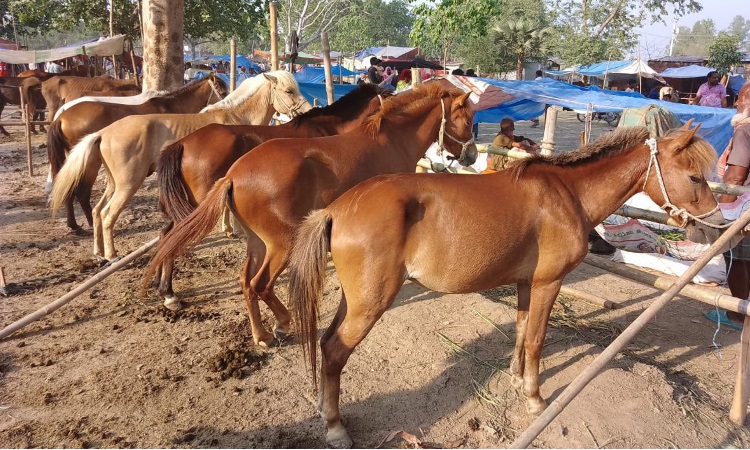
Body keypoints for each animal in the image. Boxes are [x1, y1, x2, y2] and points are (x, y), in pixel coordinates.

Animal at [46, 75, 228, 230]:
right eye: (223, 92)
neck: (170, 108)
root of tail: (61, 117)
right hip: (90, 164)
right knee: (82, 193)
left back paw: (75, 225)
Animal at [286, 122, 728, 446]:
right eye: (694, 176)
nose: (717, 227)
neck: (567, 194)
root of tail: (336, 208)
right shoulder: (549, 282)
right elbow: (536, 339)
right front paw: (534, 398)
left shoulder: (526, 283)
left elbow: (520, 330)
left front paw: (516, 378)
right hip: (369, 304)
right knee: (335, 351)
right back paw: (336, 428)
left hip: (355, 300)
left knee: (325, 343)